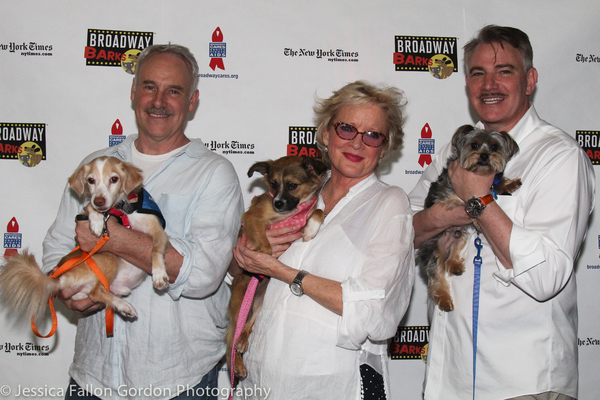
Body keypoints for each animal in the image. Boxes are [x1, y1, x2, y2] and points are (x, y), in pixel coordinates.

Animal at [0, 155, 170, 324]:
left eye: (114, 179)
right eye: (91, 180)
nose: (99, 201)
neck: (121, 209)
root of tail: (60, 278)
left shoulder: (158, 232)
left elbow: (155, 250)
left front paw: (159, 274)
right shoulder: (88, 210)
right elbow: (89, 207)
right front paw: (96, 221)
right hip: (108, 257)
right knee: (95, 292)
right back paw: (123, 305)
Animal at [225, 155, 328, 382]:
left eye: (292, 185)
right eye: (273, 184)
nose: (277, 203)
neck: (292, 211)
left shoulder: (301, 219)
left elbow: (318, 210)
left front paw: (311, 230)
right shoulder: (252, 217)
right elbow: (265, 246)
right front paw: (263, 256)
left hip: (260, 302)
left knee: (247, 325)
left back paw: (243, 341)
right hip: (241, 299)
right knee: (229, 338)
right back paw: (237, 364)